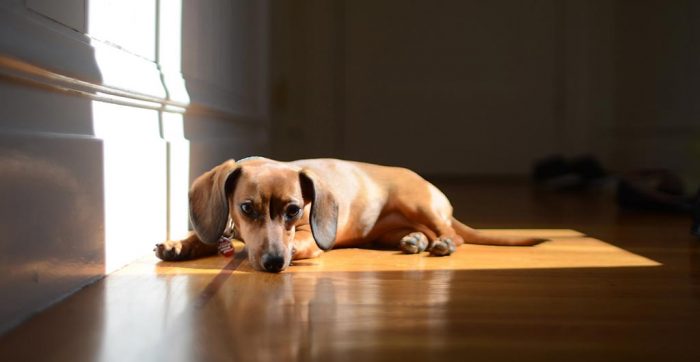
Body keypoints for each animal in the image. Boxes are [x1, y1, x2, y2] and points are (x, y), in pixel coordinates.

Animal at [156, 157, 544, 272]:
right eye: (246, 208)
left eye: (294, 210)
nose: (273, 263)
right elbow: (203, 237)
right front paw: (179, 245)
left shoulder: (307, 238)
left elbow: (300, 244)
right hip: (390, 230)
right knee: (420, 234)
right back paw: (415, 240)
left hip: (418, 203)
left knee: (453, 234)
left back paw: (442, 243)